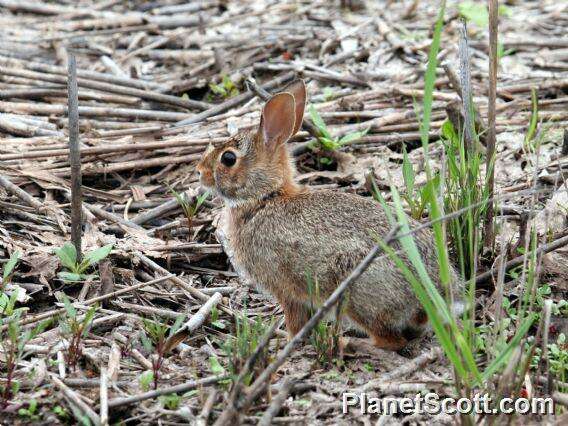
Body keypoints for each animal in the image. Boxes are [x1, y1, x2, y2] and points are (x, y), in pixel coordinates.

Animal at [196, 79, 462, 350]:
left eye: (228, 158)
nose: (199, 171)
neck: (266, 198)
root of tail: (434, 295)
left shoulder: (286, 290)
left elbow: (295, 322)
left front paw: (283, 341)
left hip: (357, 294)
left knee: (390, 340)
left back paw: (350, 343)